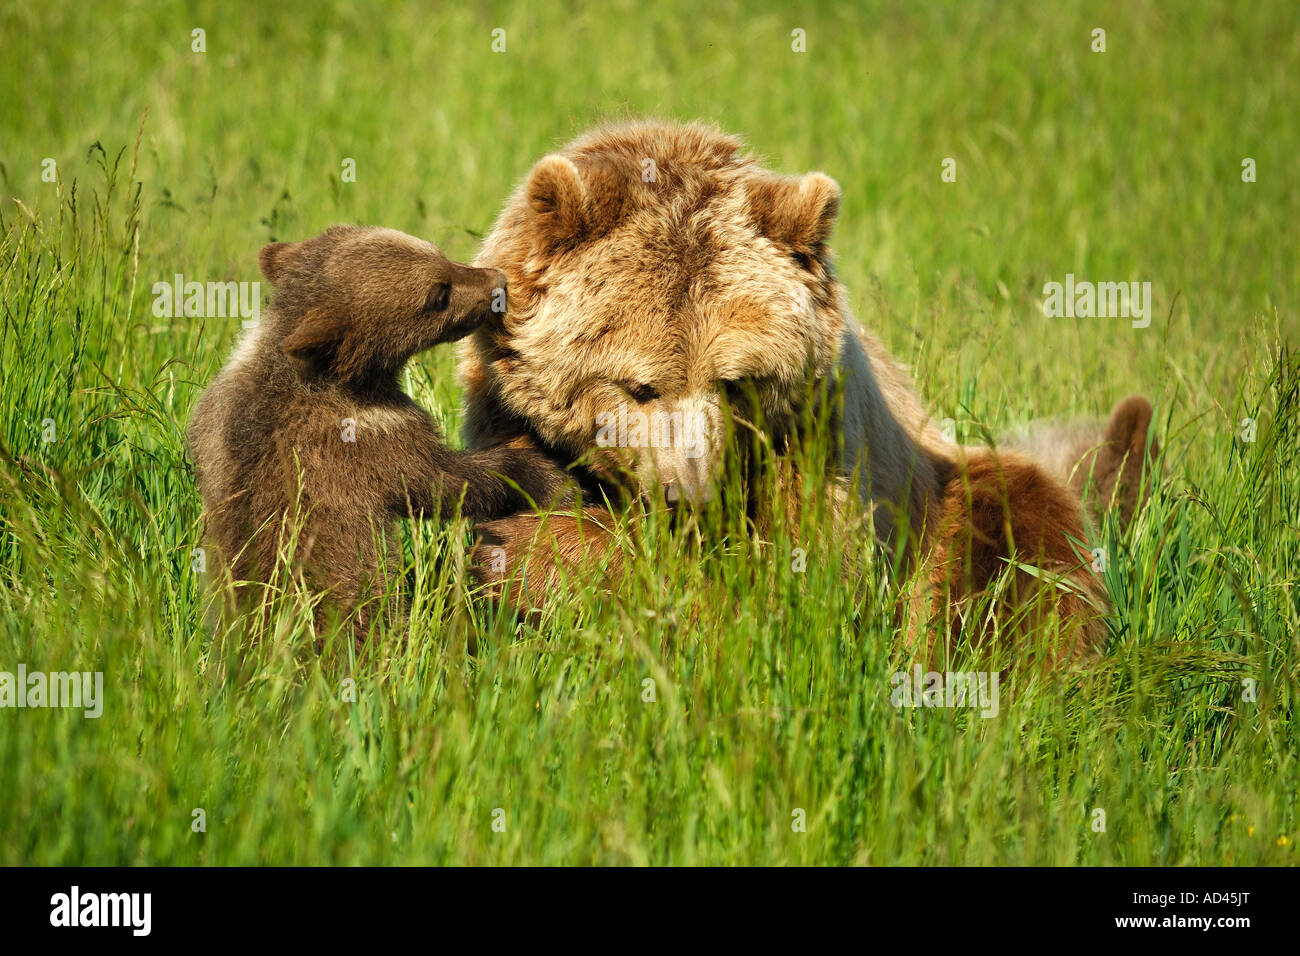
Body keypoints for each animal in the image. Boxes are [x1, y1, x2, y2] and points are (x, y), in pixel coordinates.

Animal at [189, 225, 577, 639]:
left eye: (440, 255)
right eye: (438, 294)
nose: (497, 282)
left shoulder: (214, 421)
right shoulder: (367, 439)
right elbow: (443, 481)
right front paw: (549, 477)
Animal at [457, 119, 1149, 665]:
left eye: (734, 381)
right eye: (640, 385)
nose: (689, 493)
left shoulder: (817, 446)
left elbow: (791, 594)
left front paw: (532, 554)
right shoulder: (507, 414)